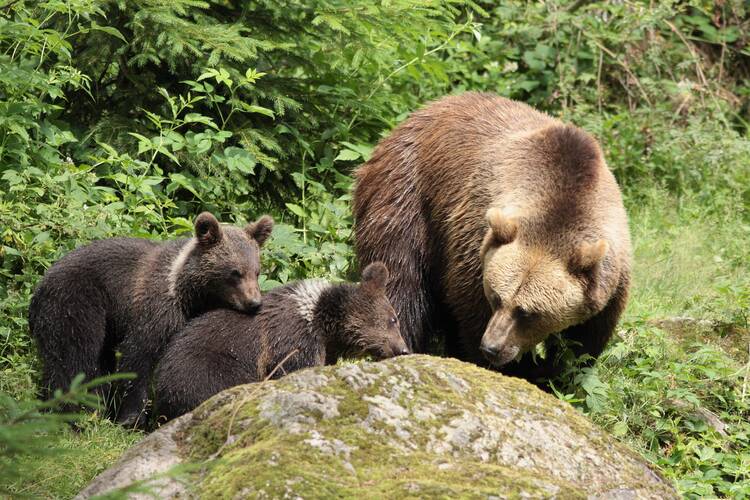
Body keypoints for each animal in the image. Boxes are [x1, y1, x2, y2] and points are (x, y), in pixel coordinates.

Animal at [356, 93, 632, 378]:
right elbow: (469, 308)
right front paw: (508, 367)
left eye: (529, 312)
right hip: (407, 195)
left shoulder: (611, 275)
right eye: (497, 298)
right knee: (400, 277)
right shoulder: (474, 236)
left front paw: (556, 372)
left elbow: (586, 340)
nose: (491, 347)